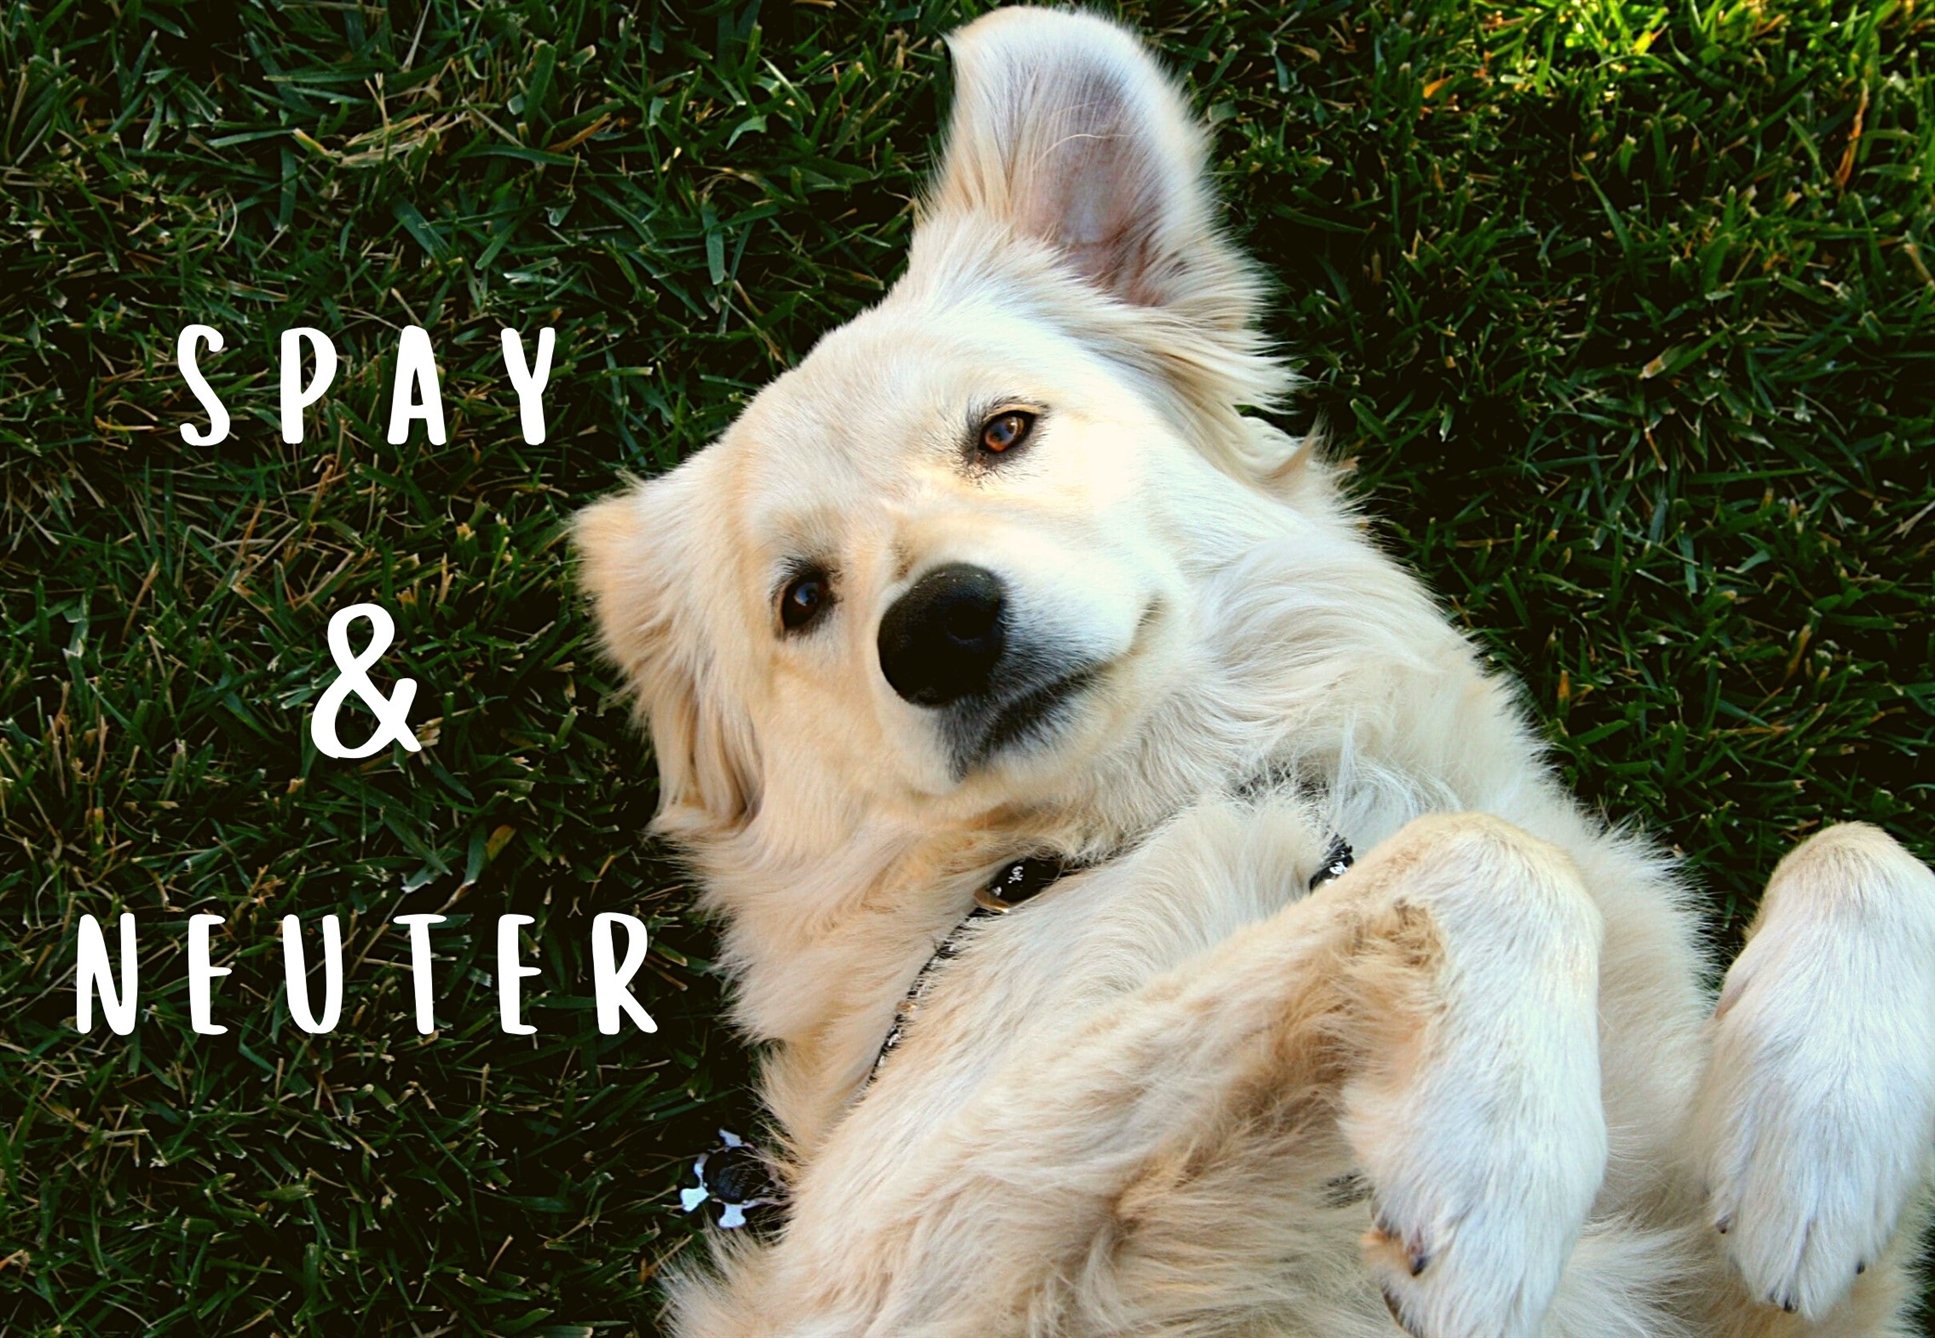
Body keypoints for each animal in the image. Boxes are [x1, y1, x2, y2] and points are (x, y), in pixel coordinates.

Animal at [572, 13, 1935, 1338]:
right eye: (799, 600)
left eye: (1003, 431)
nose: (937, 632)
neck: (1195, 799)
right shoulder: (894, 1248)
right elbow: (1481, 855)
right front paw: (1495, 1159)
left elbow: (1863, 850)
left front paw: (1816, 1134)